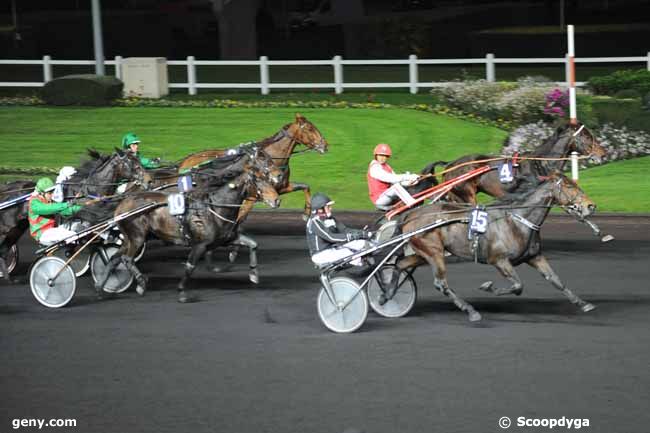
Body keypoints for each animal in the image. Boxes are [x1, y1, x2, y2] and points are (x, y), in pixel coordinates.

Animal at [92, 148, 280, 300]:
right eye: (258, 180)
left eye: (266, 177)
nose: (277, 199)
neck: (215, 206)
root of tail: (123, 202)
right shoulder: (200, 244)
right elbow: (190, 267)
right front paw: (182, 291)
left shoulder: (226, 238)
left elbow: (253, 244)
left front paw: (254, 274)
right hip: (137, 236)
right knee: (126, 258)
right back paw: (141, 283)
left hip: (130, 238)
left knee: (114, 259)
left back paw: (101, 288)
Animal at [177, 113, 326, 218]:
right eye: (310, 128)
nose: (325, 145)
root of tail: (186, 161)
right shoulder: (252, 195)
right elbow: (240, 216)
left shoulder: (280, 188)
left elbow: (305, 186)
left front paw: (307, 212)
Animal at [390, 174, 596, 322]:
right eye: (569, 186)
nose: (591, 206)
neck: (516, 220)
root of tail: (410, 214)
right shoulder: (499, 260)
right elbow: (517, 286)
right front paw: (488, 287)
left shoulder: (534, 256)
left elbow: (556, 280)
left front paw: (583, 303)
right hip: (434, 252)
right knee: (441, 283)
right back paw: (471, 311)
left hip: (423, 253)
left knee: (400, 265)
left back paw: (388, 294)